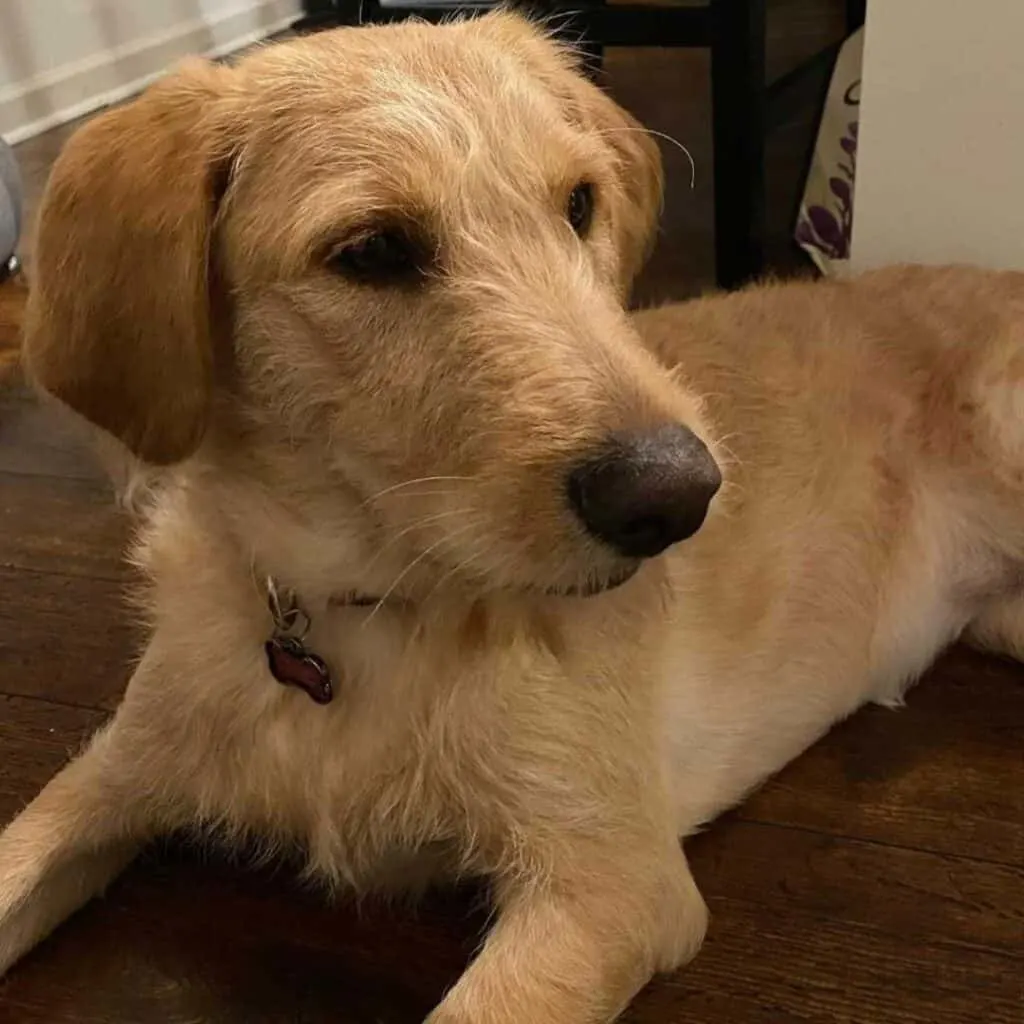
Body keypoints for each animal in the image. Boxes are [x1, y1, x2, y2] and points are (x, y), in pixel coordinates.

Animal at [2, 9, 1024, 1024]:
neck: (364, 613)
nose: (679, 496)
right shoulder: (111, 771)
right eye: (371, 251)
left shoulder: (611, 888)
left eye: (578, 203)